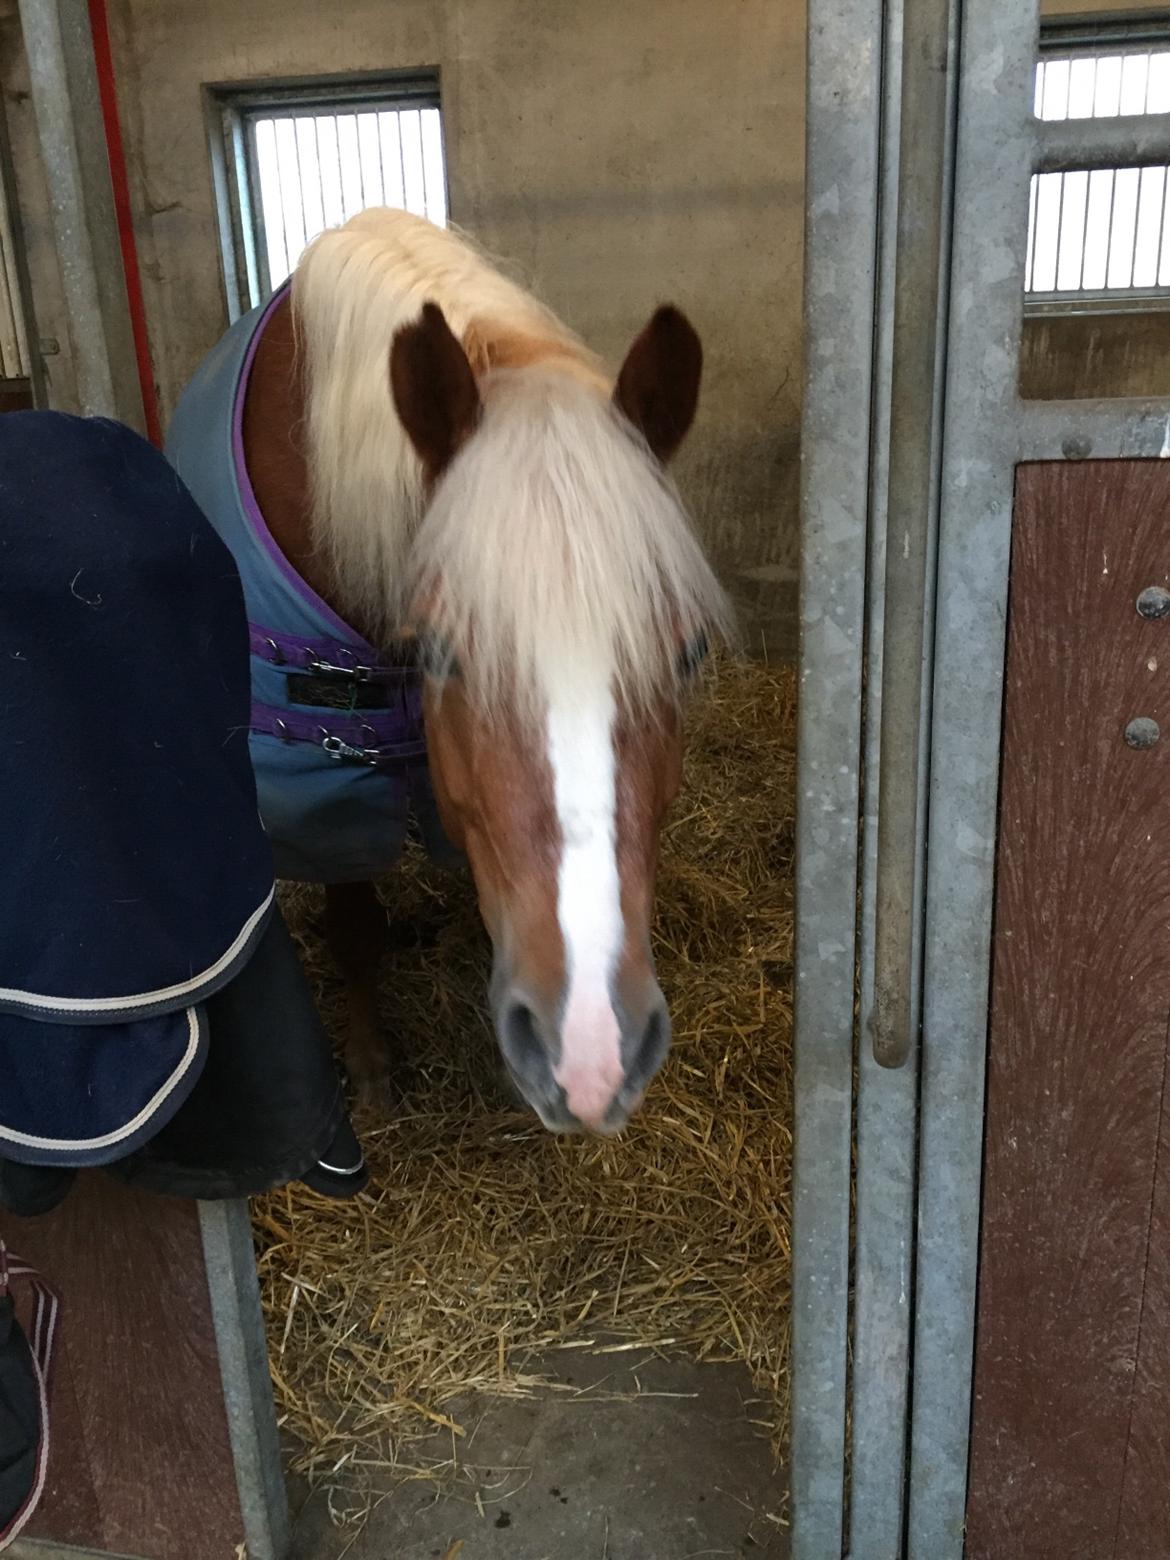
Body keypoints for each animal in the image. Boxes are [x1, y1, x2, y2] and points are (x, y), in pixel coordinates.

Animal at [169, 207, 730, 1135]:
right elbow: (352, 922)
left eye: (686, 653)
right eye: (438, 651)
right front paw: (370, 1068)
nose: (592, 1057)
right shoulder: (331, 790)